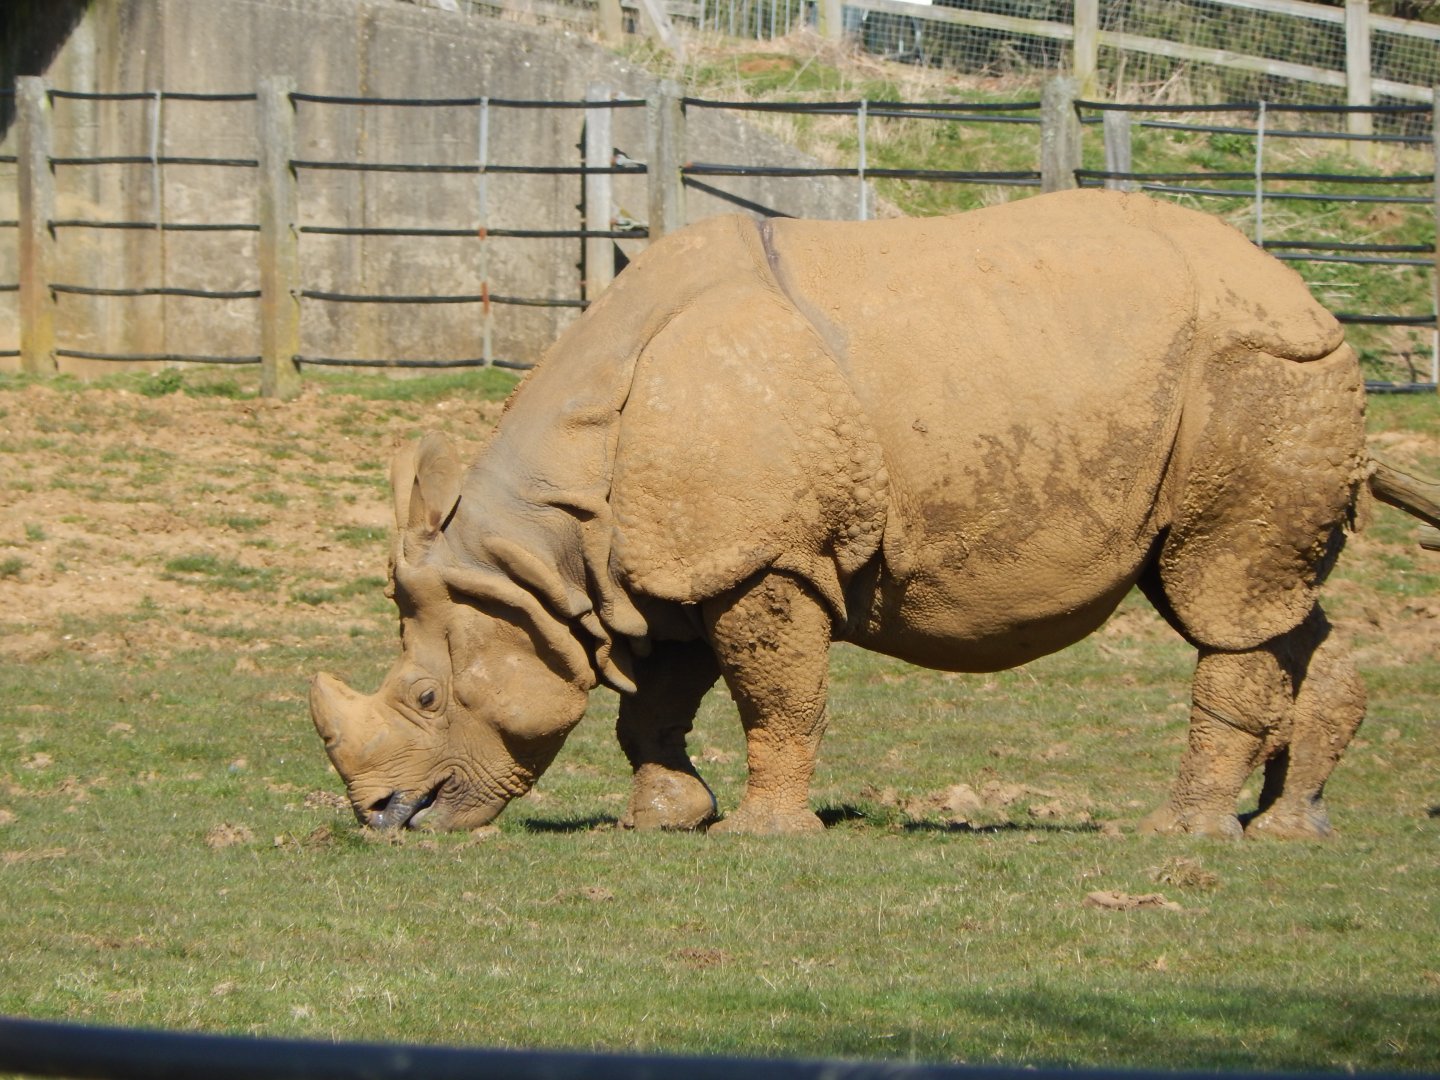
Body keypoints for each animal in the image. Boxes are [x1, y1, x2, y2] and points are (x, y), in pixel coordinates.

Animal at [310, 189, 1436, 840]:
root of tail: (1313, 299)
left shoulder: (757, 553)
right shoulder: (672, 559)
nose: (380, 820)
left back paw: (1176, 839)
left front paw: (763, 837)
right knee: (1266, 604)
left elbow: (776, 695)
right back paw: (1287, 831)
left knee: (1220, 599)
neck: (545, 546)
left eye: (423, 696)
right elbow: (656, 701)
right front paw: (663, 821)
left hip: (1258, 369)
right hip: (1240, 382)